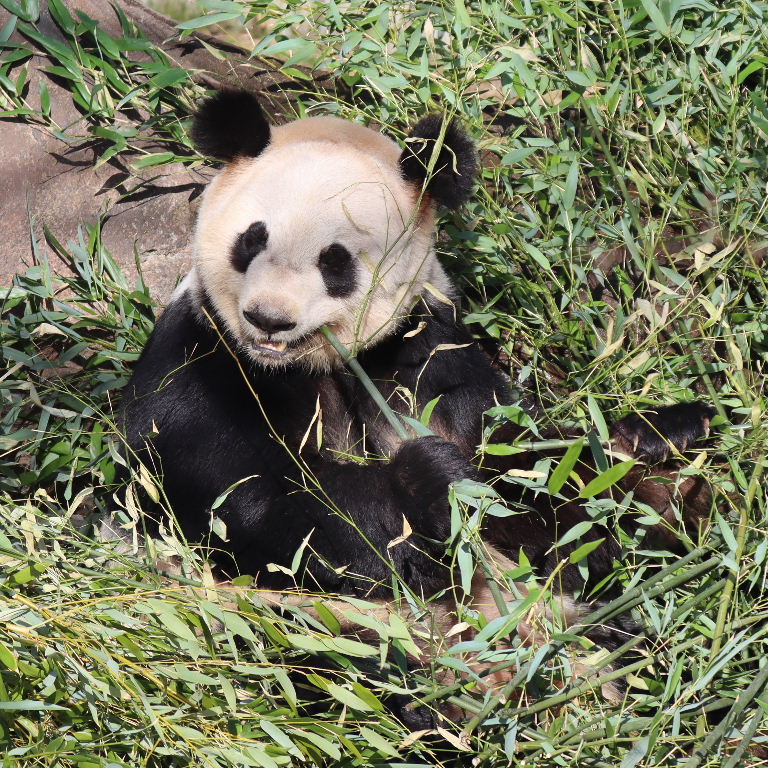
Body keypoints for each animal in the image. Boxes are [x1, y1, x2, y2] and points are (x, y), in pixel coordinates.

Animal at [120, 90, 714, 641]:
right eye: (251, 239)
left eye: (335, 262)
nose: (269, 319)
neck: (309, 364)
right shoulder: (201, 361)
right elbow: (260, 508)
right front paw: (431, 483)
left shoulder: (424, 351)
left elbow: (529, 470)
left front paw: (658, 434)